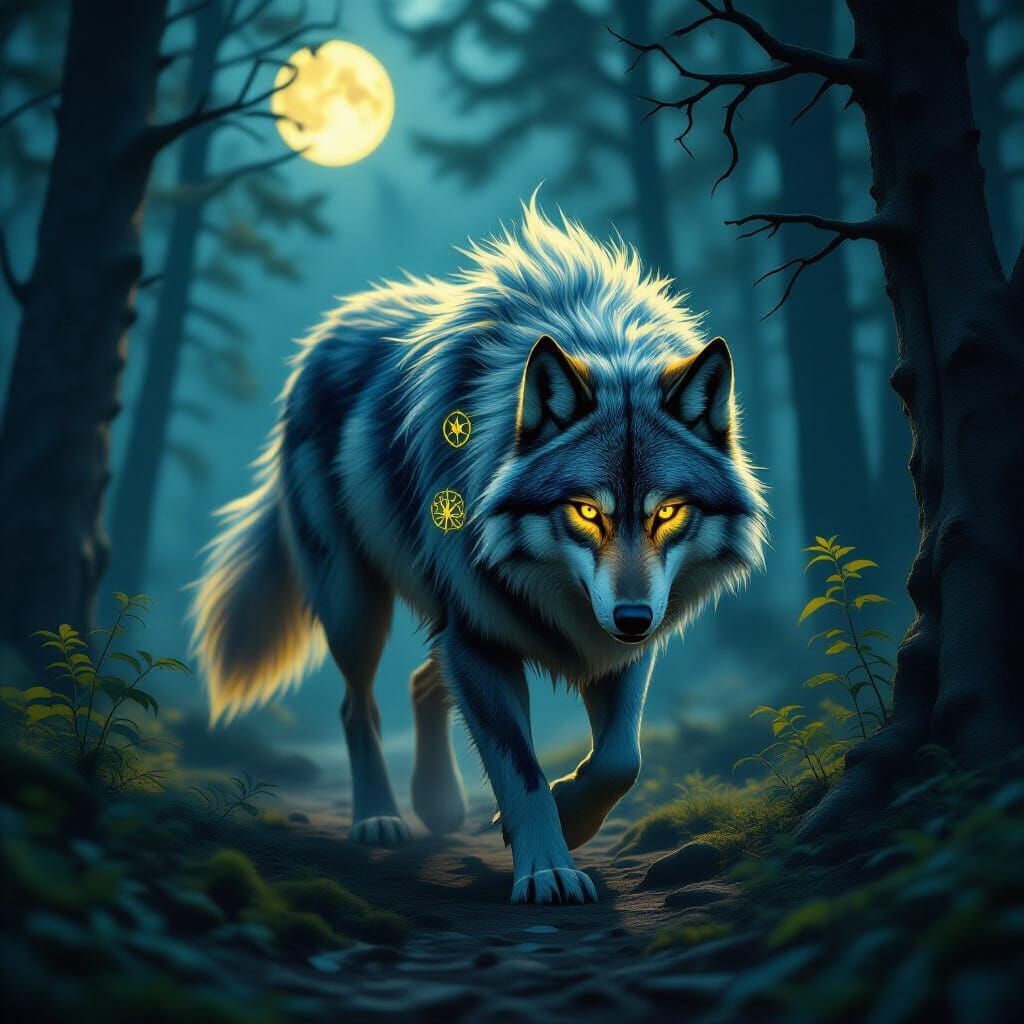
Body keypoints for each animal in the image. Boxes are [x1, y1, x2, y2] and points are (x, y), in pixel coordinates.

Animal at [190, 199, 766, 905]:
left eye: (667, 512)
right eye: (586, 511)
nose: (632, 619)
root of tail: (328, 329)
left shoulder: (612, 649)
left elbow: (620, 761)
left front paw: (570, 816)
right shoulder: (481, 639)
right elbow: (520, 769)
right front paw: (547, 869)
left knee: (421, 680)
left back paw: (438, 804)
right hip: (357, 604)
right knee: (358, 704)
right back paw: (380, 818)